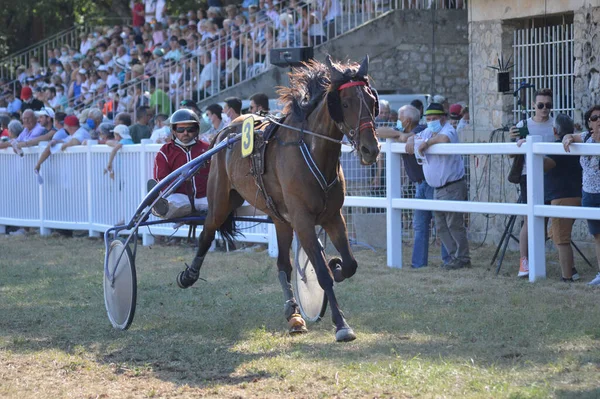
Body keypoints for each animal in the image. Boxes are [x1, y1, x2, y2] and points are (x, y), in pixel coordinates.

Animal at [176, 54, 380, 342]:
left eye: (372, 102)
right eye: (345, 103)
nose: (370, 149)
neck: (313, 153)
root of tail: (228, 129)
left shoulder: (333, 216)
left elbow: (350, 264)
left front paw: (338, 266)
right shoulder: (303, 220)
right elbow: (322, 273)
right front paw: (341, 324)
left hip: (279, 218)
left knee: (283, 264)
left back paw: (294, 314)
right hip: (220, 200)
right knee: (207, 232)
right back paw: (189, 275)